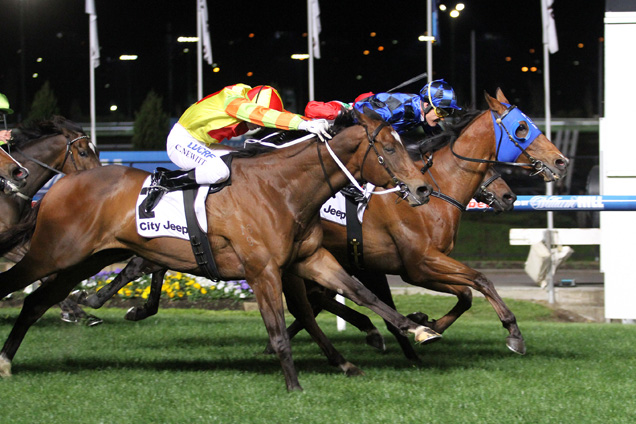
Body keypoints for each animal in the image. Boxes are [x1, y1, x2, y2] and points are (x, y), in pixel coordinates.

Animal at [0, 108, 438, 390]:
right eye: (389, 149)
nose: (421, 189)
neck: (282, 188)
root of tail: (59, 188)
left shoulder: (309, 258)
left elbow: (363, 294)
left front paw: (418, 329)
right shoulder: (262, 270)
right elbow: (278, 329)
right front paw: (294, 387)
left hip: (85, 259)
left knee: (36, 301)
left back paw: (11, 357)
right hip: (52, 252)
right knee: (18, 286)